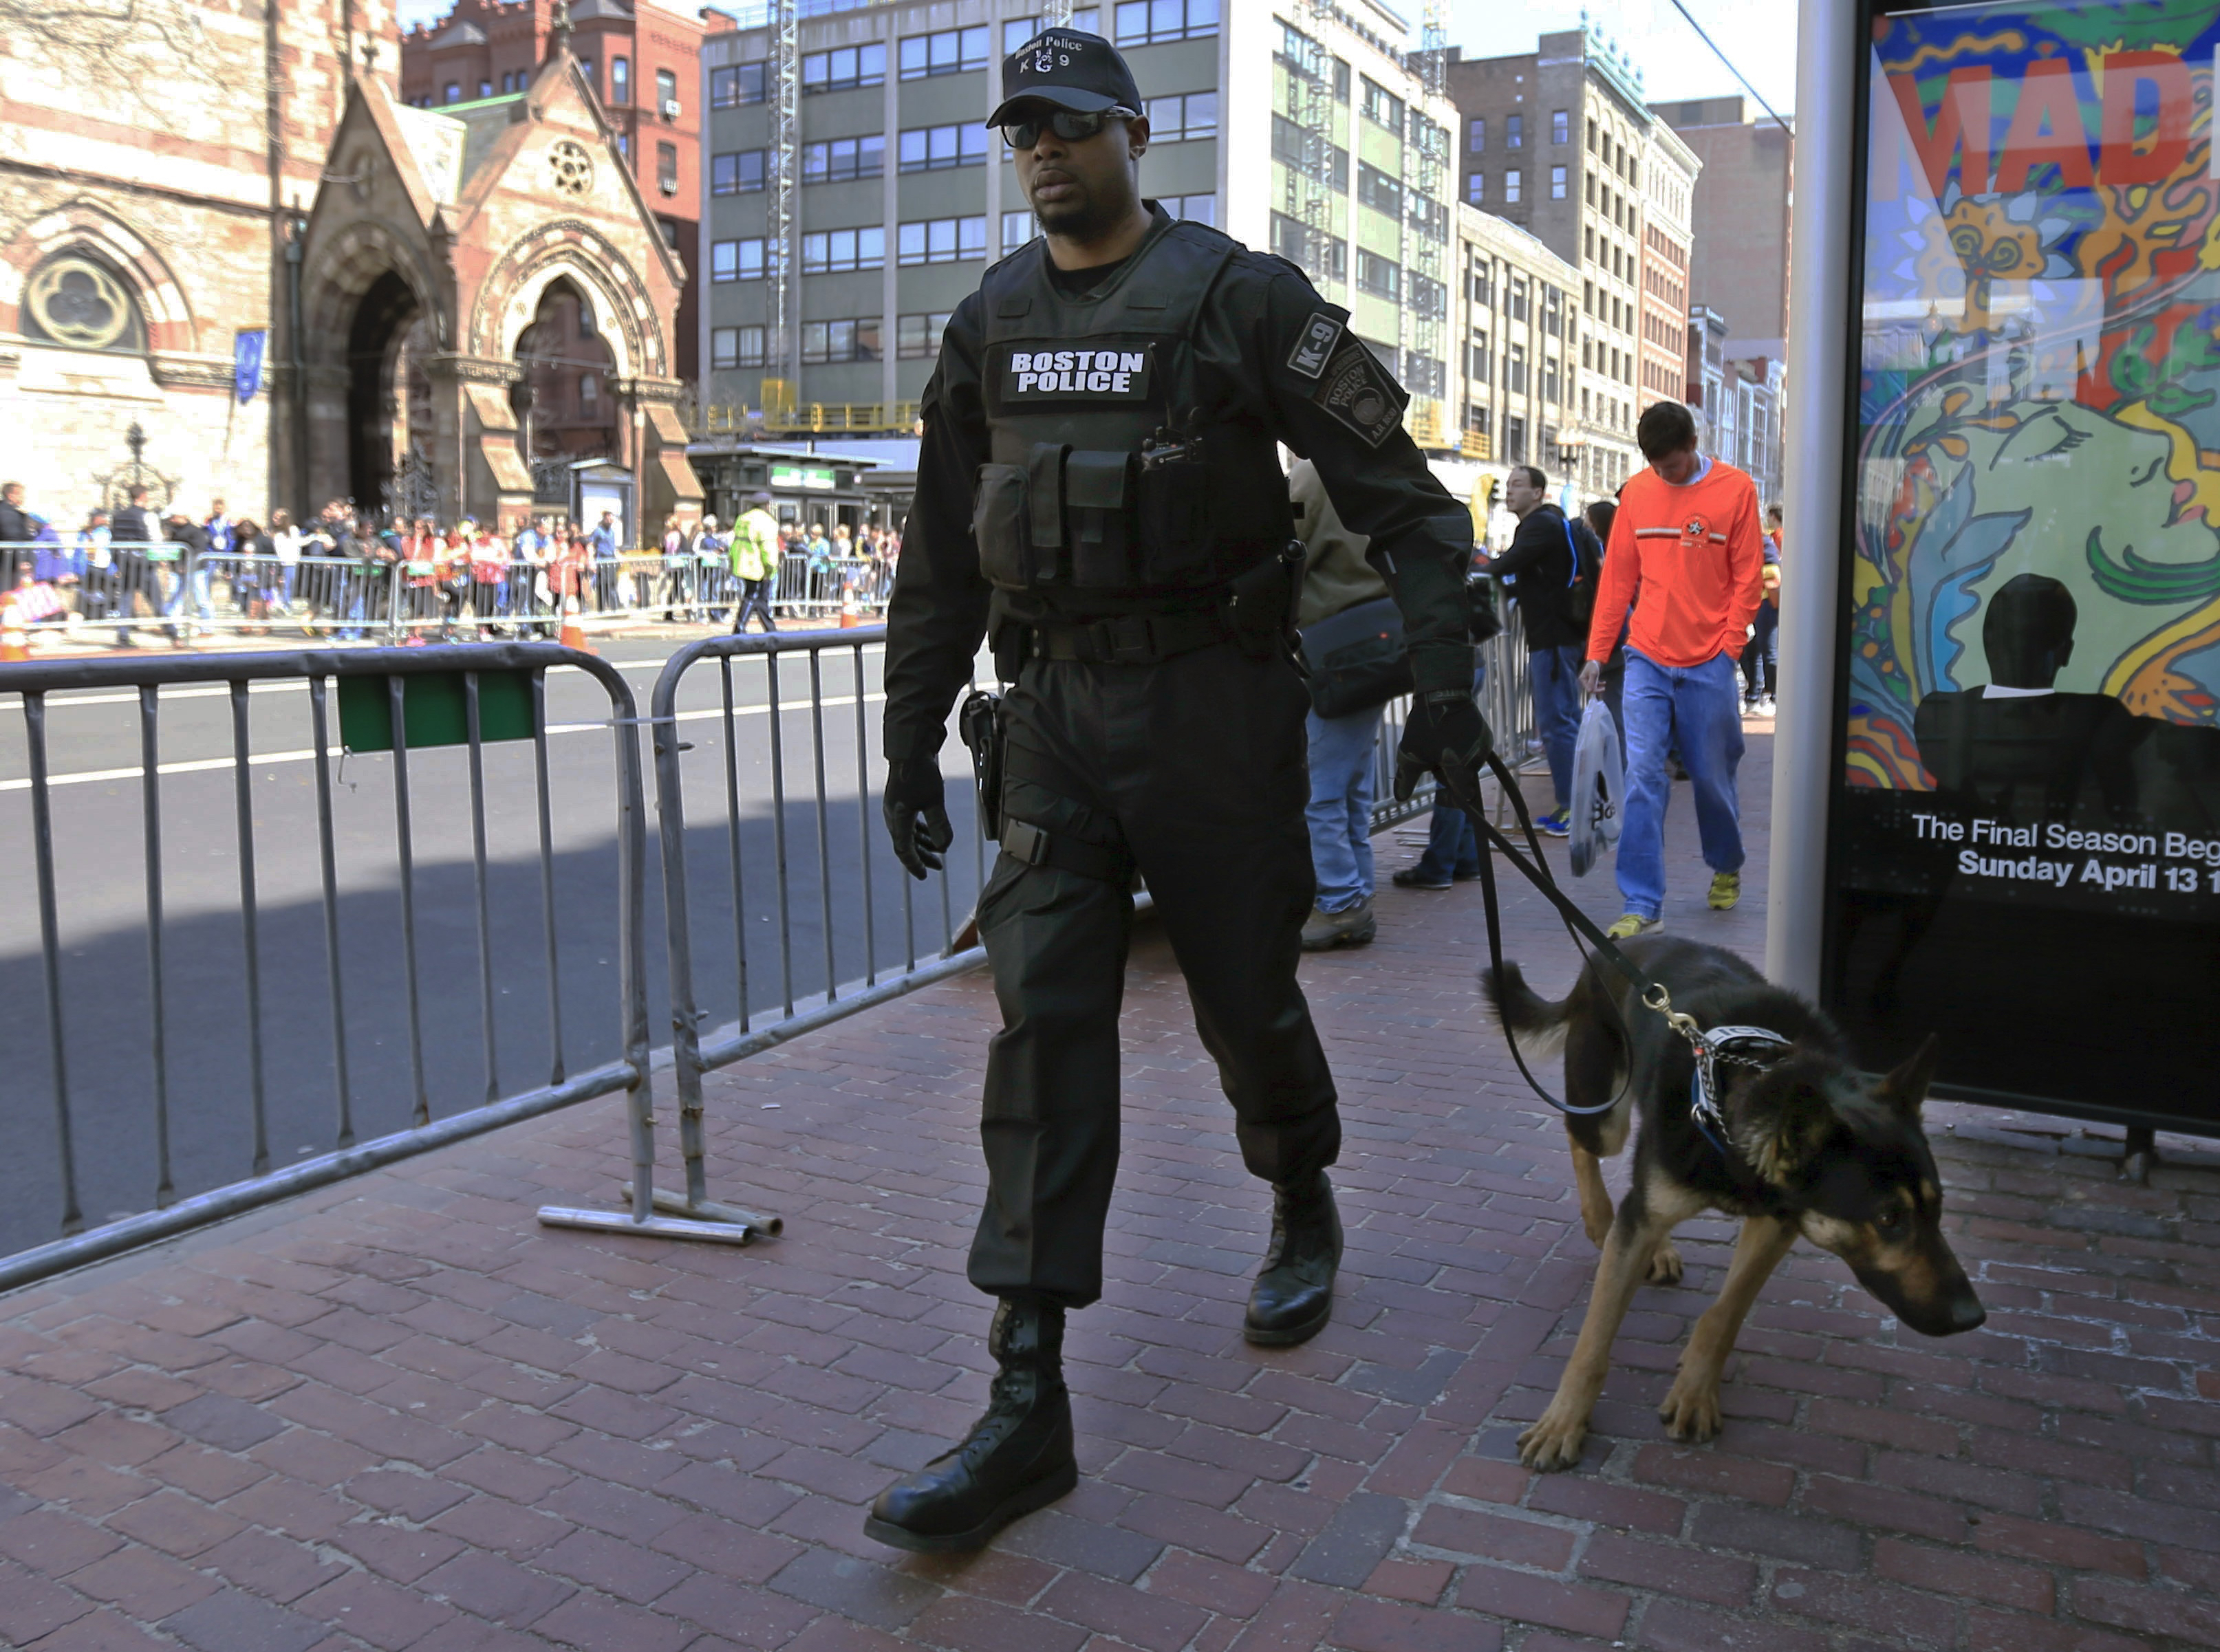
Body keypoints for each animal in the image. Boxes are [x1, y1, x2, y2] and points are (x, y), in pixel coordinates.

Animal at [1483, 941, 1989, 1474]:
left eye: (1937, 1208)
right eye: (1889, 1218)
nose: (1972, 1317)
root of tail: (1619, 947)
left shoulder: (1776, 1223)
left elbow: (1724, 1314)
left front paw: (1695, 1389)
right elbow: (1593, 1343)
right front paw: (1563, 1423)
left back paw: (1657, 1248)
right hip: (1605, 1118)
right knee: (1584, 1144)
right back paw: (1601, 1217)